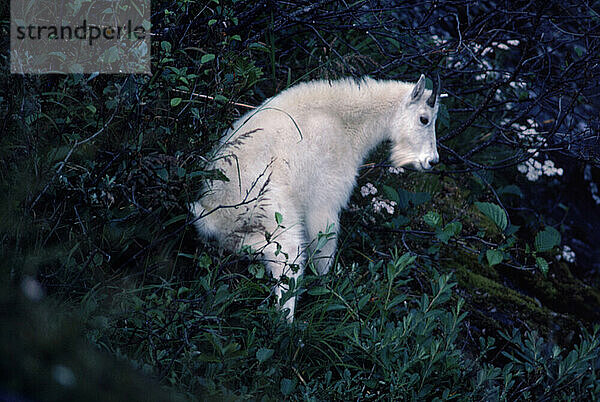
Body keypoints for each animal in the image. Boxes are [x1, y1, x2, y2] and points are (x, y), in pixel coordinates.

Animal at [191, 74, 440, 320]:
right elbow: (323, 250)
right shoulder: (325, 199)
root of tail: (216, 214)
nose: (432, 160)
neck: (345, 122)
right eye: (424, 119)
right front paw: (326, 290)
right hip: (279, 224)